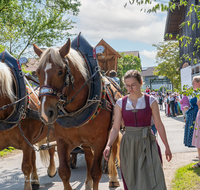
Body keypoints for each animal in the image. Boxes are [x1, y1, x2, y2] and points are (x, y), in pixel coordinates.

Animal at [0, 61, 57, 190]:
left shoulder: (26, 142)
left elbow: (26, 167)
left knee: (51, 149)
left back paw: (51, 170)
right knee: (34, 158)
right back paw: (35, 180)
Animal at [33, 39, 121, 190]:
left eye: (60, 72)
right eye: (38, 72)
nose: (45, 113)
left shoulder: (100, 141)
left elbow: (97, 172)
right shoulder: (62, 141)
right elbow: (64, 172)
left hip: (113, 131)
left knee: (113, 150)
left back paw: (113, 178)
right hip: (85, 142)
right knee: (88, 157)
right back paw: (88, 182)